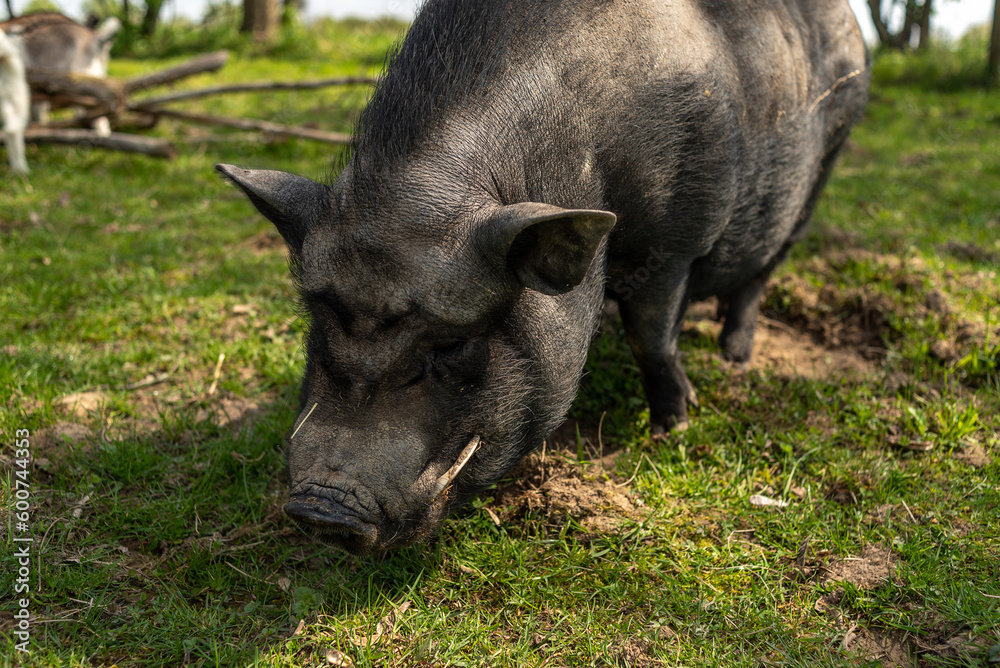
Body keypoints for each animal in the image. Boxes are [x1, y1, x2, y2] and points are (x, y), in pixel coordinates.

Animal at [218, 0, 869, 555]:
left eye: (453, 343)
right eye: (316, 320)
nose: (320, 507)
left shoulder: (674, 246)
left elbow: (652, 338)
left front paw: (674, 427)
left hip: (828, 161)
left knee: (761, 274)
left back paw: (736, 356)